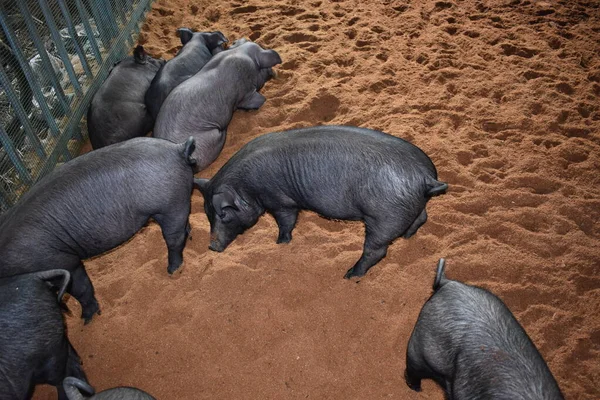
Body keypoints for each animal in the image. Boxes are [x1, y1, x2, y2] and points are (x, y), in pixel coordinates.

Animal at [0, 136, 197, 324]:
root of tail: (177, 148)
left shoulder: (62, 261)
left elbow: (81, 288)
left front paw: (87, 320)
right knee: (184, 227)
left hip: (170, 204)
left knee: (174, 238)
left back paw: (172, 270)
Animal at [195, 125, 448, 278]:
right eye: (207, 213)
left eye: (224, 214)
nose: (212, 246)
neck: (247, 186)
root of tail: (425, 177)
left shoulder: (280, 200)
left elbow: (286, 222)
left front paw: (280, 243)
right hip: (408, 208)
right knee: (421, 217)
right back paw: (407, 237)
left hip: (383, 217)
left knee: (377, 250)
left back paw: (349, 274)